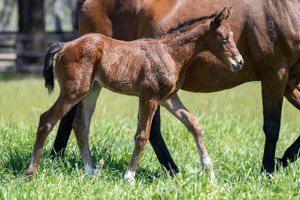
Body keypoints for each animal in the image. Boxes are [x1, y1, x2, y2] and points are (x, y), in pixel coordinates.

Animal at [26, 7, 244, 181]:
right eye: (224, 37)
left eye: (232, 35)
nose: (239, 62)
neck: (169, 53)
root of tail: (64, 45)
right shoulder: (149, 97)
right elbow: (142, 135)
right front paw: (129, 177)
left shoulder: (168, 97)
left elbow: (194, 124)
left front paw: (210, 173)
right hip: (74, 90)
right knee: (46, 120)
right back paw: (31, 174)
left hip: (92, 89)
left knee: (81, 126)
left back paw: (92, 172)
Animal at [50, 0, 300, 175]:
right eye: (224, 38)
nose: (239, 63)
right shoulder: (275, 73)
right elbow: (272, 126)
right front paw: (268, 169)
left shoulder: (290, 82)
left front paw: (281, 160)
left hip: (95, 83)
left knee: (75, 118)